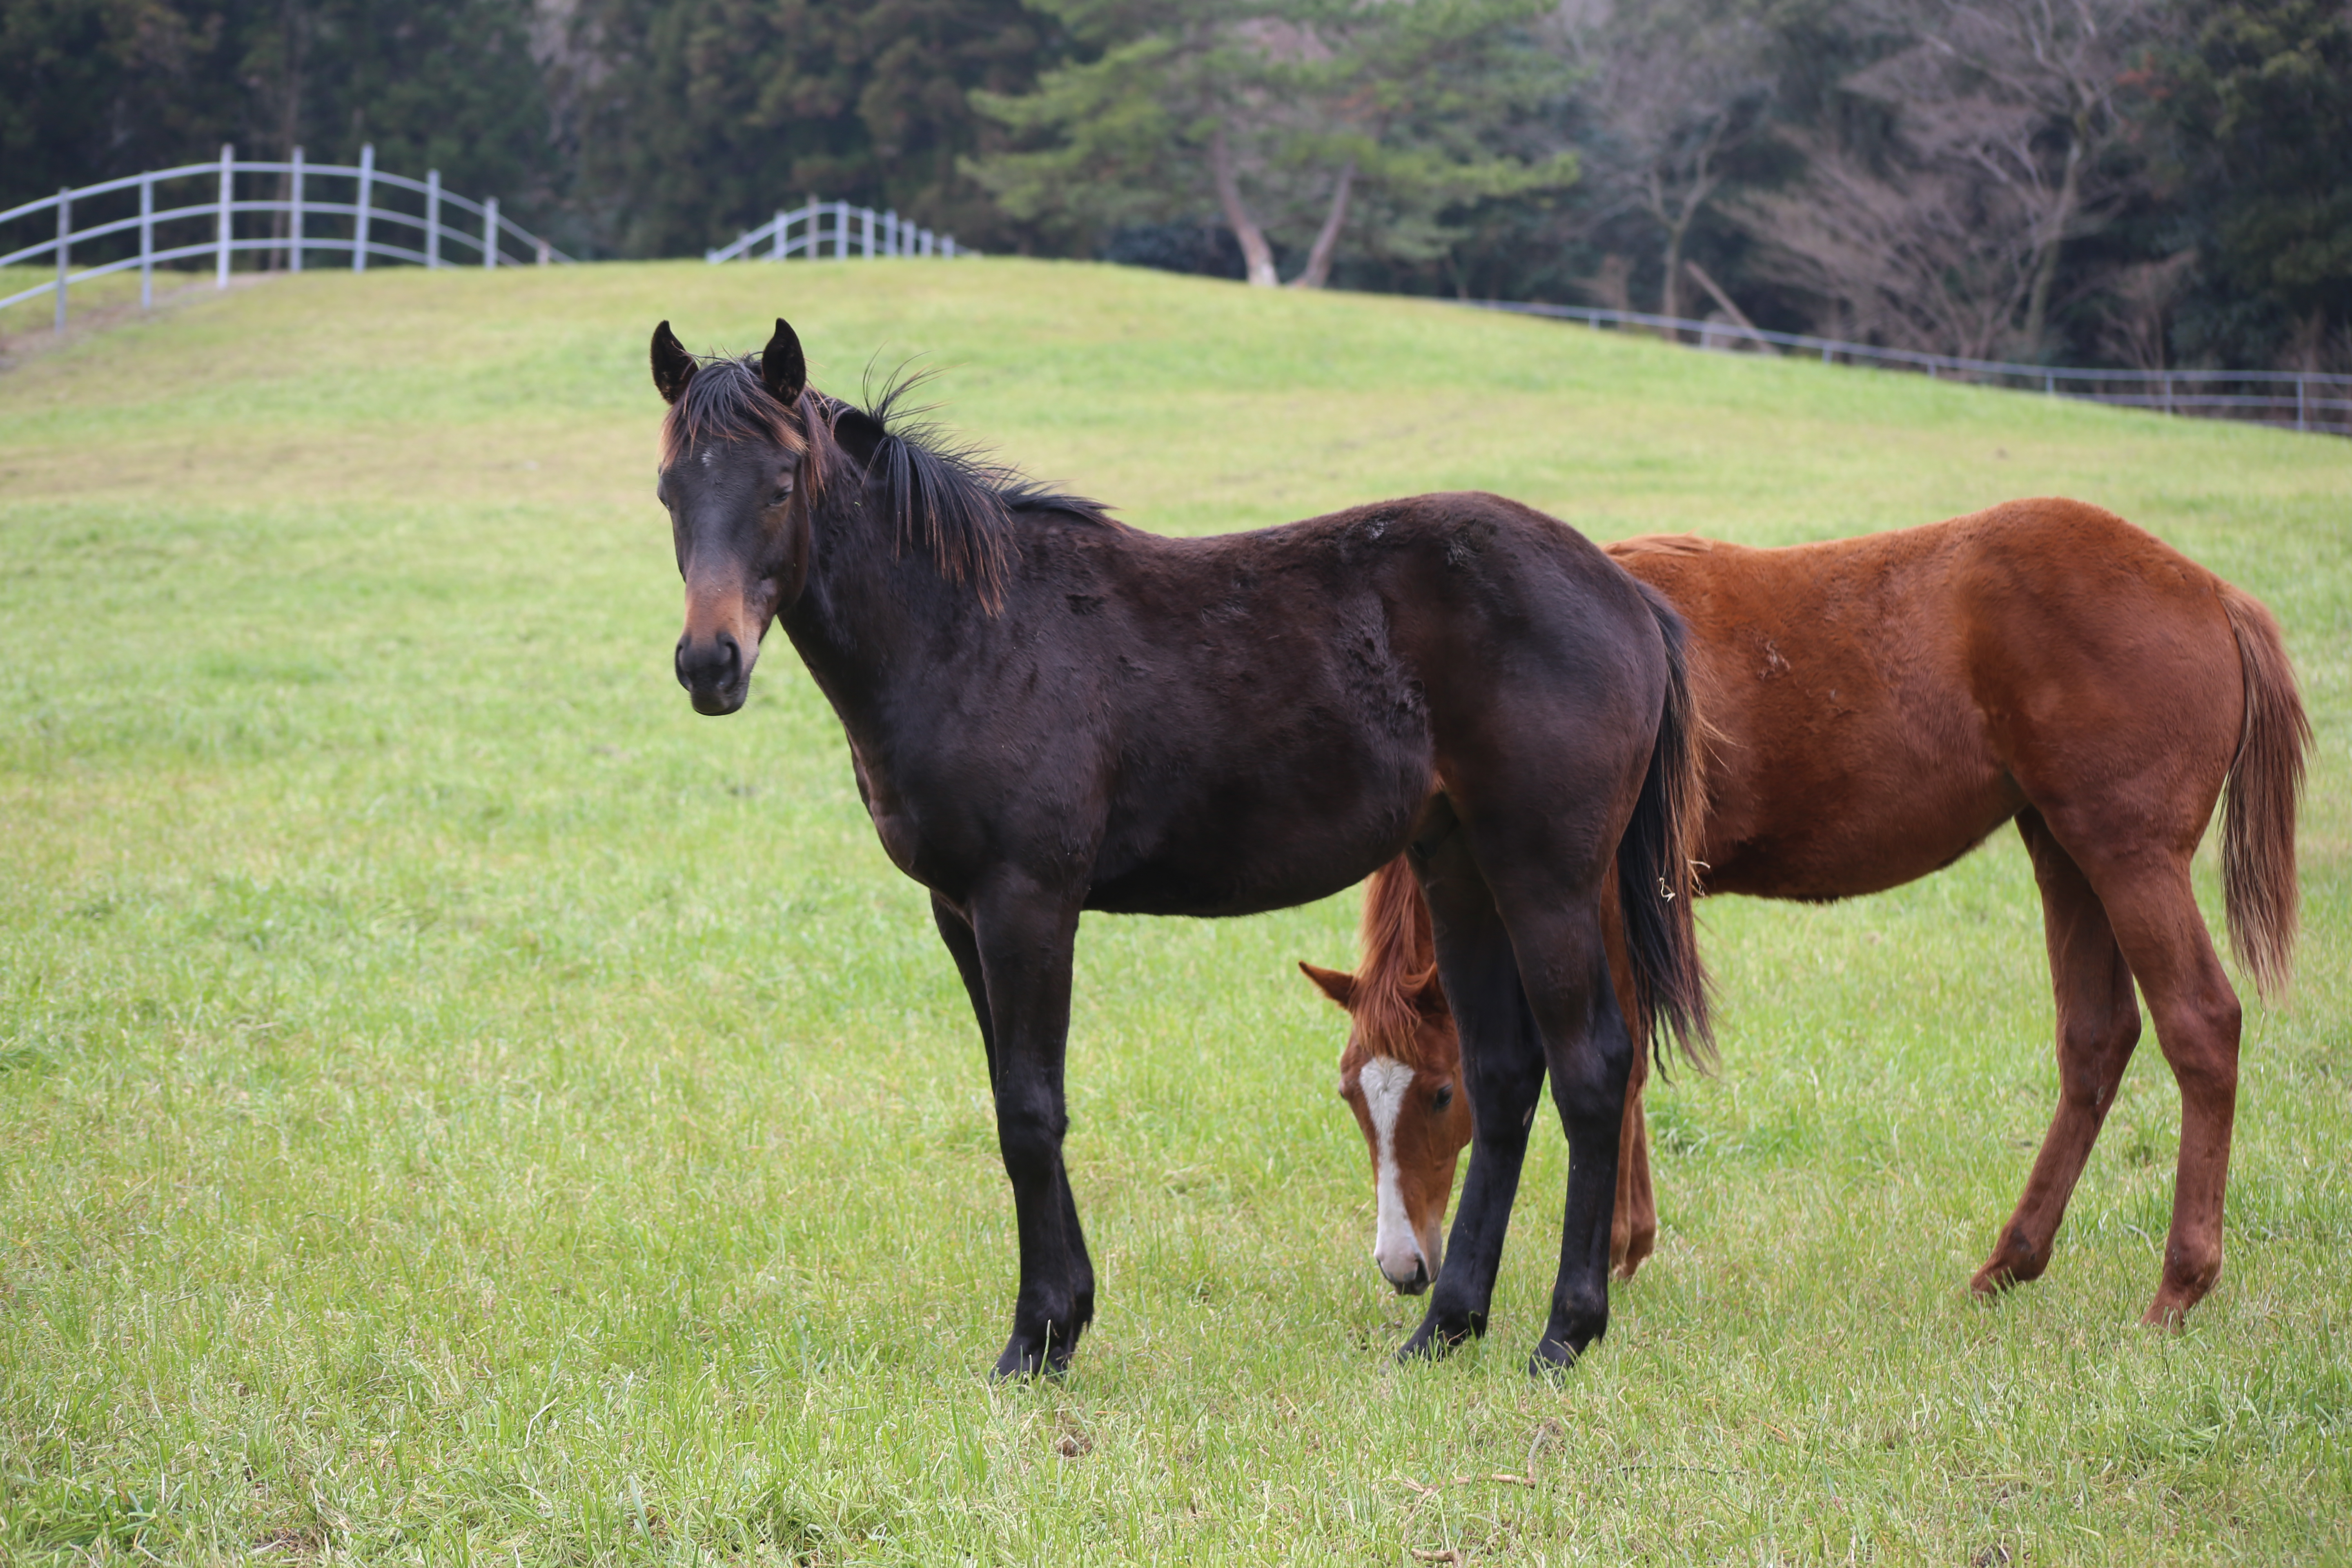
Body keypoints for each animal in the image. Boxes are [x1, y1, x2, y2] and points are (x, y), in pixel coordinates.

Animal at [644, 315, 1712, 1373]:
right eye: (669, 490)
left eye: (782, 483)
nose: (709, 664)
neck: (970, 632)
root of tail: (1625, 592)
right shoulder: (958, 911)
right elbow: (1013, 1099)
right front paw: (1065, 1314)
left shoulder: (1026, 900)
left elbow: (1030, 1111)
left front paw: (1037, 1336)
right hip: (1458, 869)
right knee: (1501, 1075)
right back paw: (1445, 1326)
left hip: (1545, 876)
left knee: (1591, 1068)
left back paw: (1564, 1332)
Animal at [1317, 501, 2305, 1326]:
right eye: (1355, 1097)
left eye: (1441, 1094)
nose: (1404, 1269)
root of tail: (2211, 592)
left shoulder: (1600, 899)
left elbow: (1616, 1064)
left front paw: (1617, 1248)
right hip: (2066, 853)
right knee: (2097, 1040)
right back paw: (2011, 1263)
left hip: (2131, 861)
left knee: (2201, 1026)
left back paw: (2179, 1286)